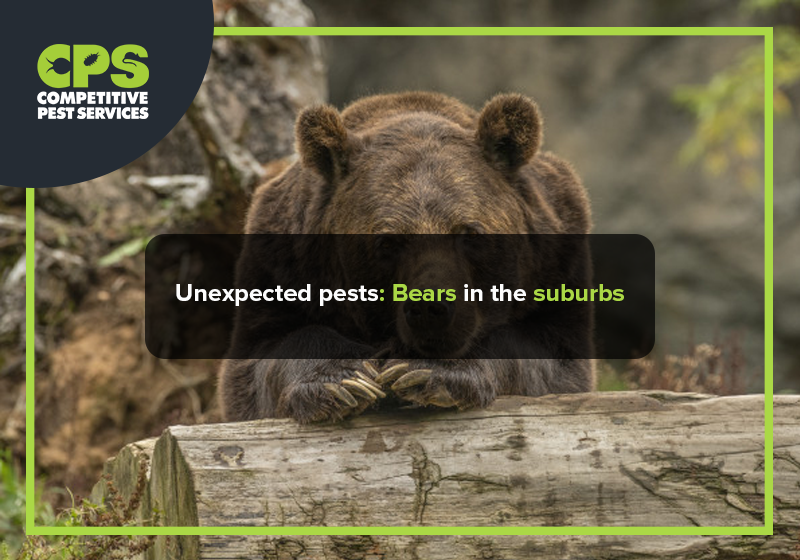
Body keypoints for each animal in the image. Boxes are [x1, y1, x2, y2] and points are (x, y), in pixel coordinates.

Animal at [219, 91, 595, 424]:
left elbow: (550, 359)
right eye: (389, 241)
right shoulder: (281, 264)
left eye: (469, 233)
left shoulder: (556, 263)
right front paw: (345, 381)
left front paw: (427, 372)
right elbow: (262, 358)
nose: (430, 308)